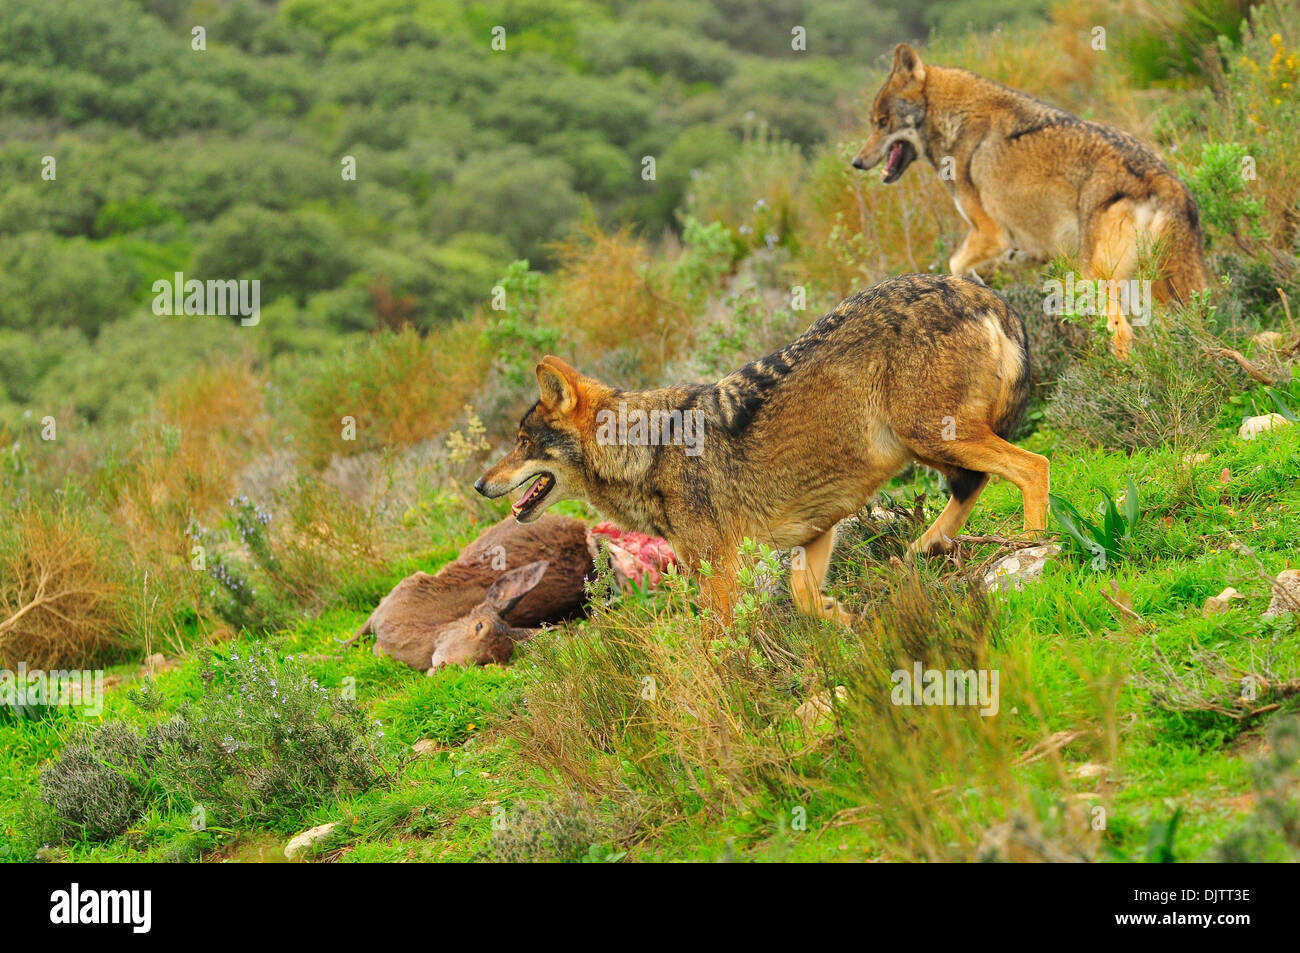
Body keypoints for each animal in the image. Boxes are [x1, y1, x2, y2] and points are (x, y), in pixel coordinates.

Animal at [475, 273, 1045, 624]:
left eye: (522, 444)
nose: (481, 484)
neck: (648, 451)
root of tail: (983, 293)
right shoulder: (815, 529)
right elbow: (805, 598)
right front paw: (844, 621)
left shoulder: (719, 568)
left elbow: (717, 645)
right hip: (926, 446)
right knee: (975, 483)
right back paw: (923, 549)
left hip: (930, 435)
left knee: (1033, 466)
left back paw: (1033, 548)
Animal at [857, 41, 1211, 356]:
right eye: (873, 122)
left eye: (883, 122)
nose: (856, 162)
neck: (955, 122)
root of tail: (1162, 178)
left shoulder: (992, 234)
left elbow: (954, 263)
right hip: (1160, 286)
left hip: (1097, 280)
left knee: (1122, 335)